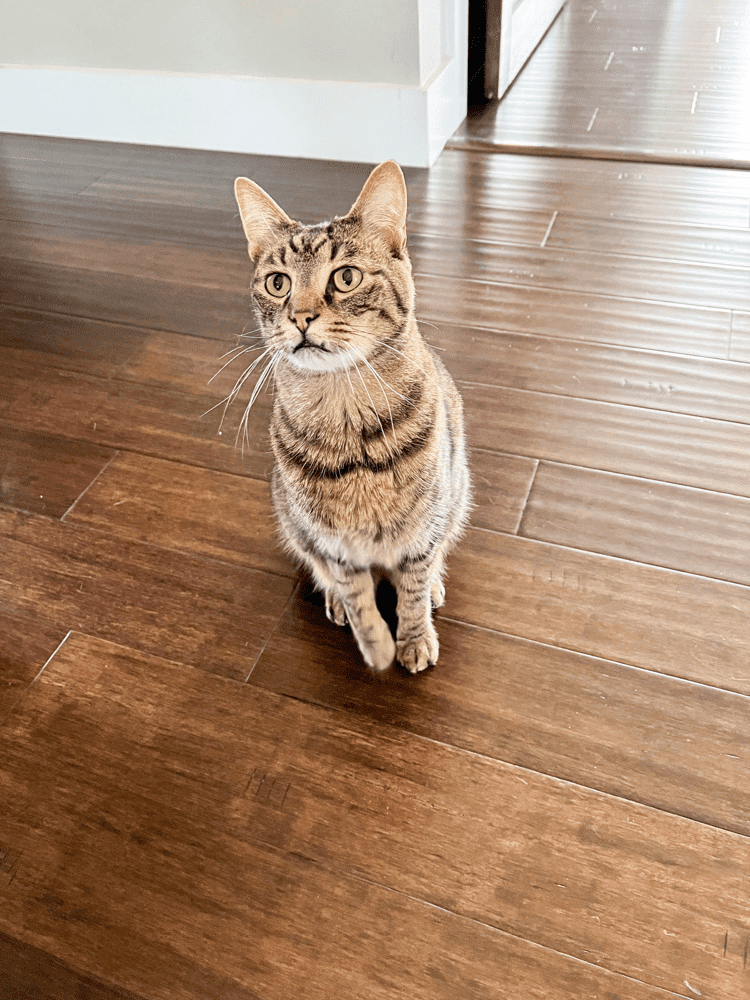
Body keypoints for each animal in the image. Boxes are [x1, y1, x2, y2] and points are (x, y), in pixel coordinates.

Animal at [235, 160, 470, 672]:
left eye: (345, 277)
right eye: (278, 283)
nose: (301, 317)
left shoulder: (423, 529)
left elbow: (413, 587)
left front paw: (413, 638)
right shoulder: (332, 542)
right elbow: (357, 594)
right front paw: (376, 645)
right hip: (293, 522)